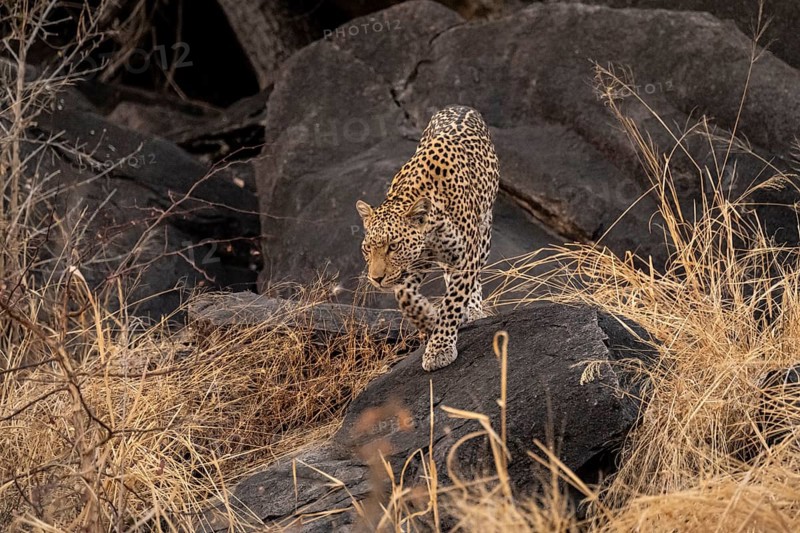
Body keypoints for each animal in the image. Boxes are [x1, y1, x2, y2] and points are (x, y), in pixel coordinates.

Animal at [355, 105, 499, 371]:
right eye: (368, 248)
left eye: (393, 246)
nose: (376, 279)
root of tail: (459, 105)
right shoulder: (416, 263)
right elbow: (405, 297)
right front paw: (430, 318)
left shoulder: (465, 256)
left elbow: (454, 301)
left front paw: (439, 349)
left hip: (483, 234)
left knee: (473, 278)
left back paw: (473, 309)